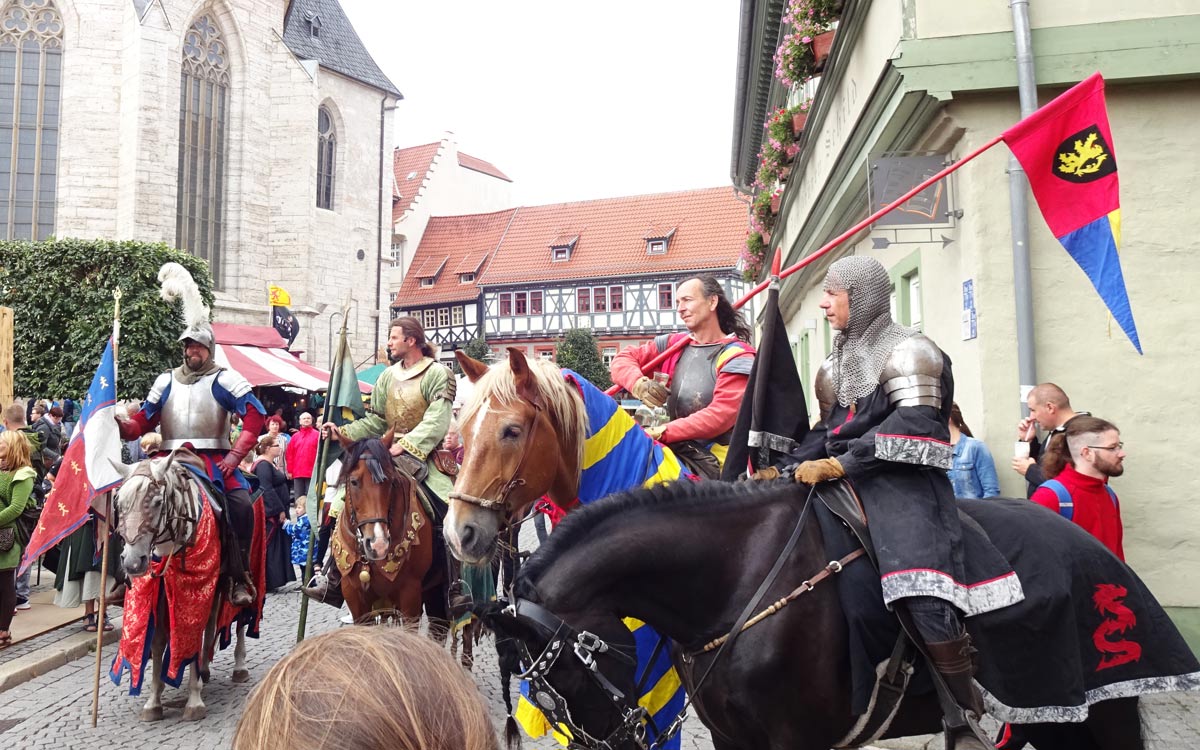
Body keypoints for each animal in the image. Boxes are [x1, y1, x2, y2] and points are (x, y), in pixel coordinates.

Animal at [109, 451, 258, 720]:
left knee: (240, 618)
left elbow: (192, 637)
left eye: (158, 502)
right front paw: (153, 701)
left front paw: (194, 700)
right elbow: (158, 642)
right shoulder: (160, 592)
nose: (133, 562)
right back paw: (206, 669)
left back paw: (239, 667)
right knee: (212, 621)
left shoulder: (195, 589)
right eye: (119, 503)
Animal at [484, 480, 1200, 748]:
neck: (739, 580)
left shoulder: (796, 741)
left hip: (1094, 711)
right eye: (542, 700)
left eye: (569, 676)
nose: (622, 741)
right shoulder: (737, 739)